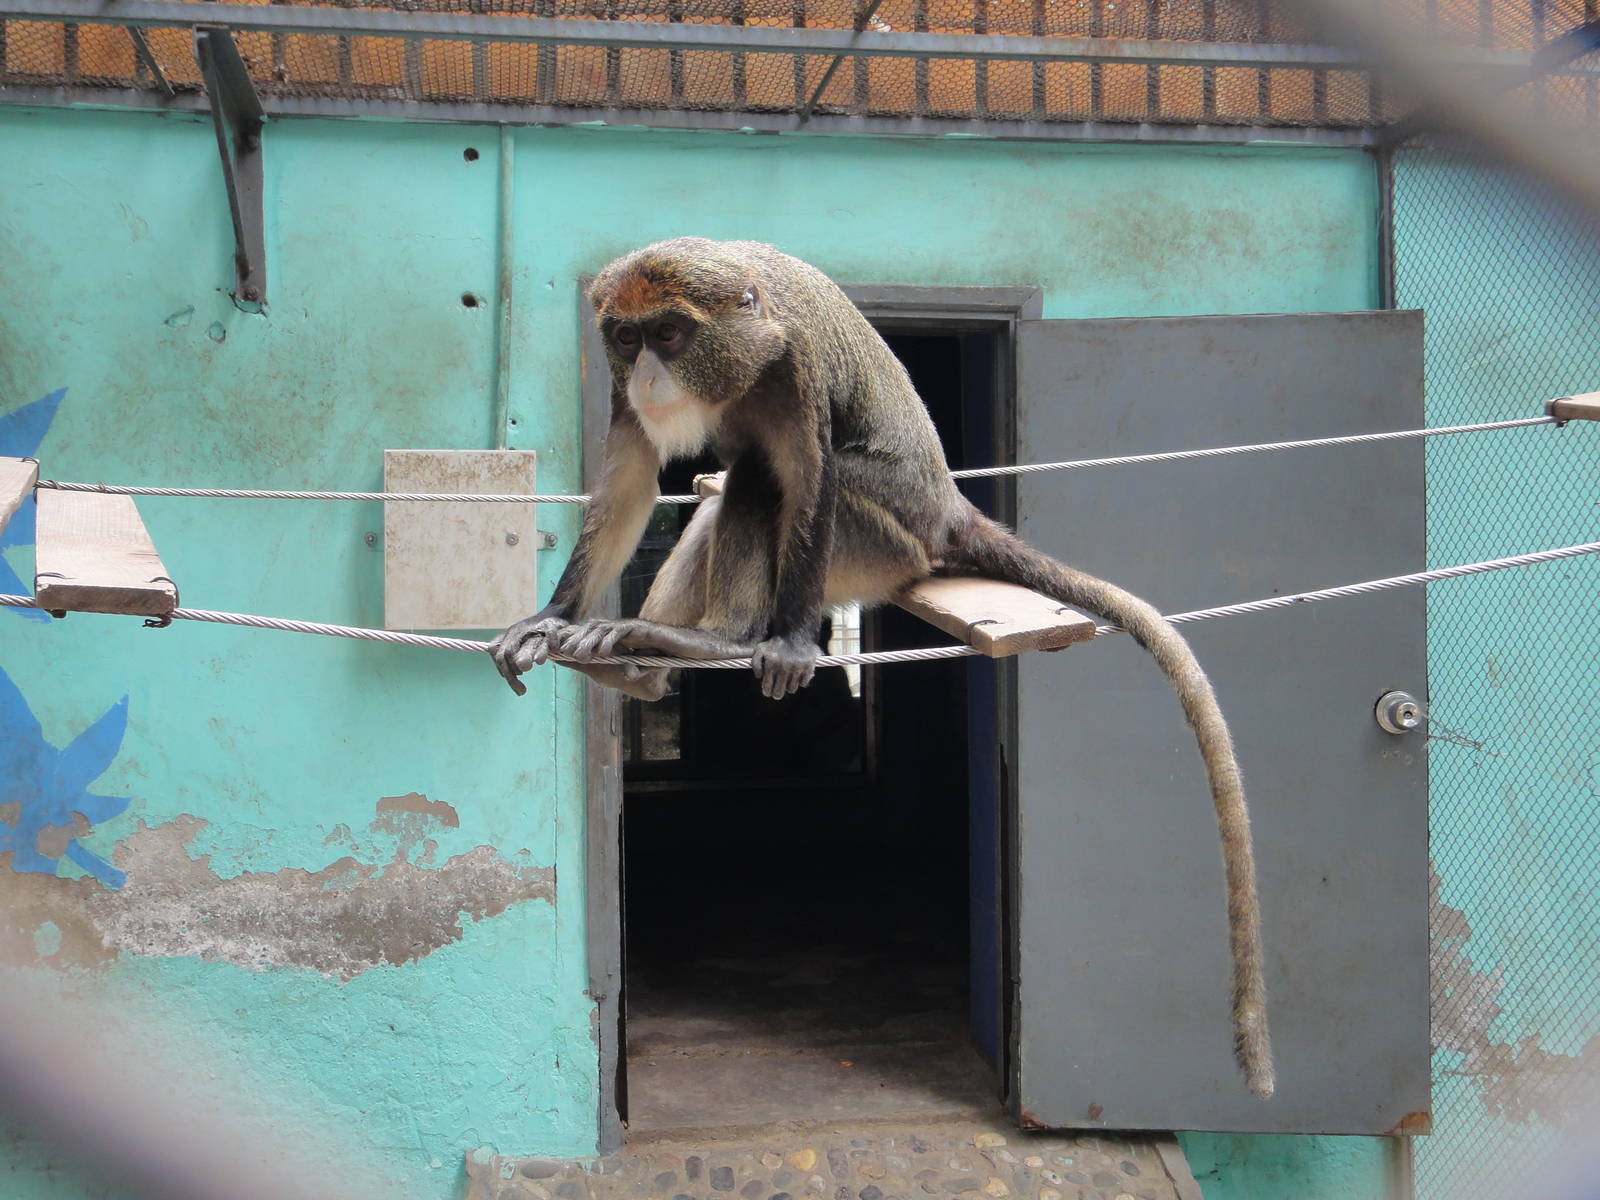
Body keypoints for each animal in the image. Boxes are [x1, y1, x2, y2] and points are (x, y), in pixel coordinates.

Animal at [488, 237, 1274, 1099]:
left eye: (669, 334)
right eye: (628, 339)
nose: (647, 375)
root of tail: (945, 513)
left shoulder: (793, 363)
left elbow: (808, 472)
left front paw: (793, 643)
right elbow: (628, 481)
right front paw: (551, 614)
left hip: (880, 542)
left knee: (763, 478)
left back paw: (721, 640)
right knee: (732, 486)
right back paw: (640, 669)